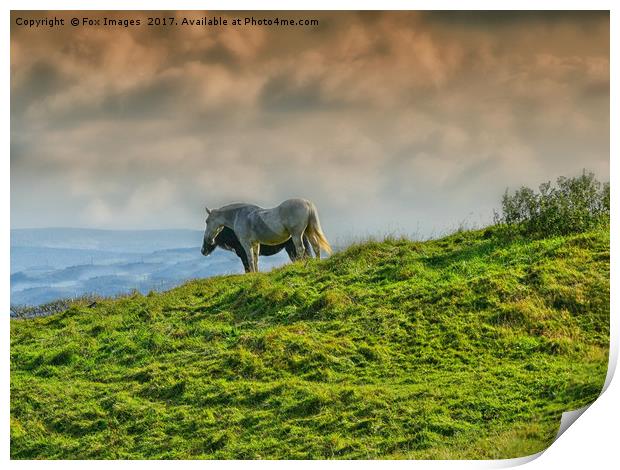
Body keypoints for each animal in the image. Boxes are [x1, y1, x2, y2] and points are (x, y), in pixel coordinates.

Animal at [203, 197, 332, 272]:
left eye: (207, 221)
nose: (209, 240)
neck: (240, 215)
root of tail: (307, 203)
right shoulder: (255, 243)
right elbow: (255, 259)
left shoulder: (246, 244)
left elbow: (250, 259)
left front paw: (253, 274)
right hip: (308, 231)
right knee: (316, 246)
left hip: (297, 235)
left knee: (301, 250)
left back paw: (300, 266)